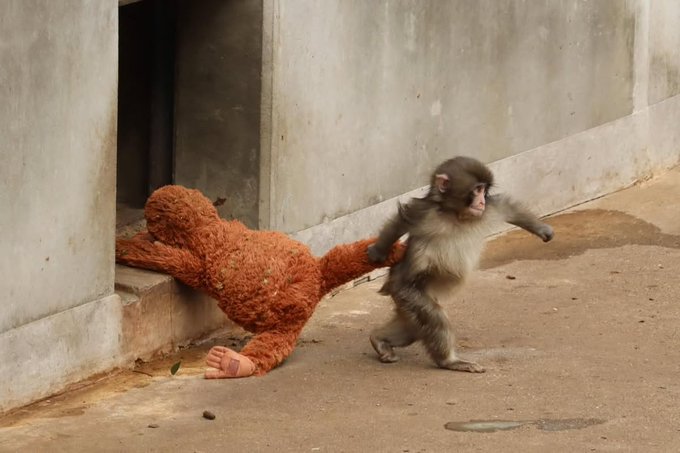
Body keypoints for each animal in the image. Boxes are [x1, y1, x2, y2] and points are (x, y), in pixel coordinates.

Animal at [367, 156, 554, 373]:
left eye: (484, 190)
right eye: (477, 189)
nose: (481, 201)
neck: (456, 215)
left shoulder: (487, 211)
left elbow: (507, 207)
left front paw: (543, 230)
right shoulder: (424, 212)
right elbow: (401, 220)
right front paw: (378, 252)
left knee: (412, 328)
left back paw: (379, 339)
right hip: (406, 291)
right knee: (433, 318)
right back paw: (449, 361)